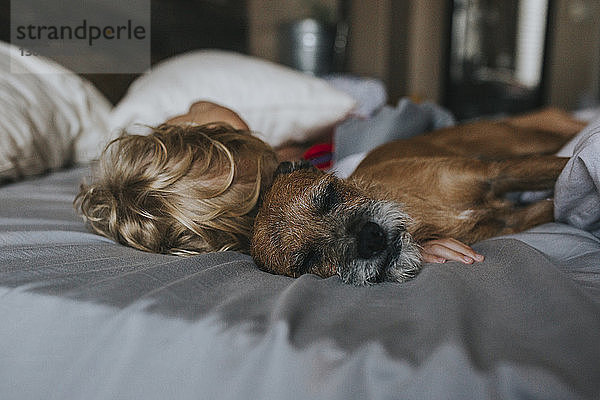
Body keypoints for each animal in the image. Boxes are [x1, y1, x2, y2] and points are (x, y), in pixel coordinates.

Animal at [251, 108, 584, 286]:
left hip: (517, 141)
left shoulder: (498, 173)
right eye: (310, 259)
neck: (419, 212)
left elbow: (568, 165)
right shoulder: (515, 219)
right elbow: (555, 203)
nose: (370, 239)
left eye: (329, 196)